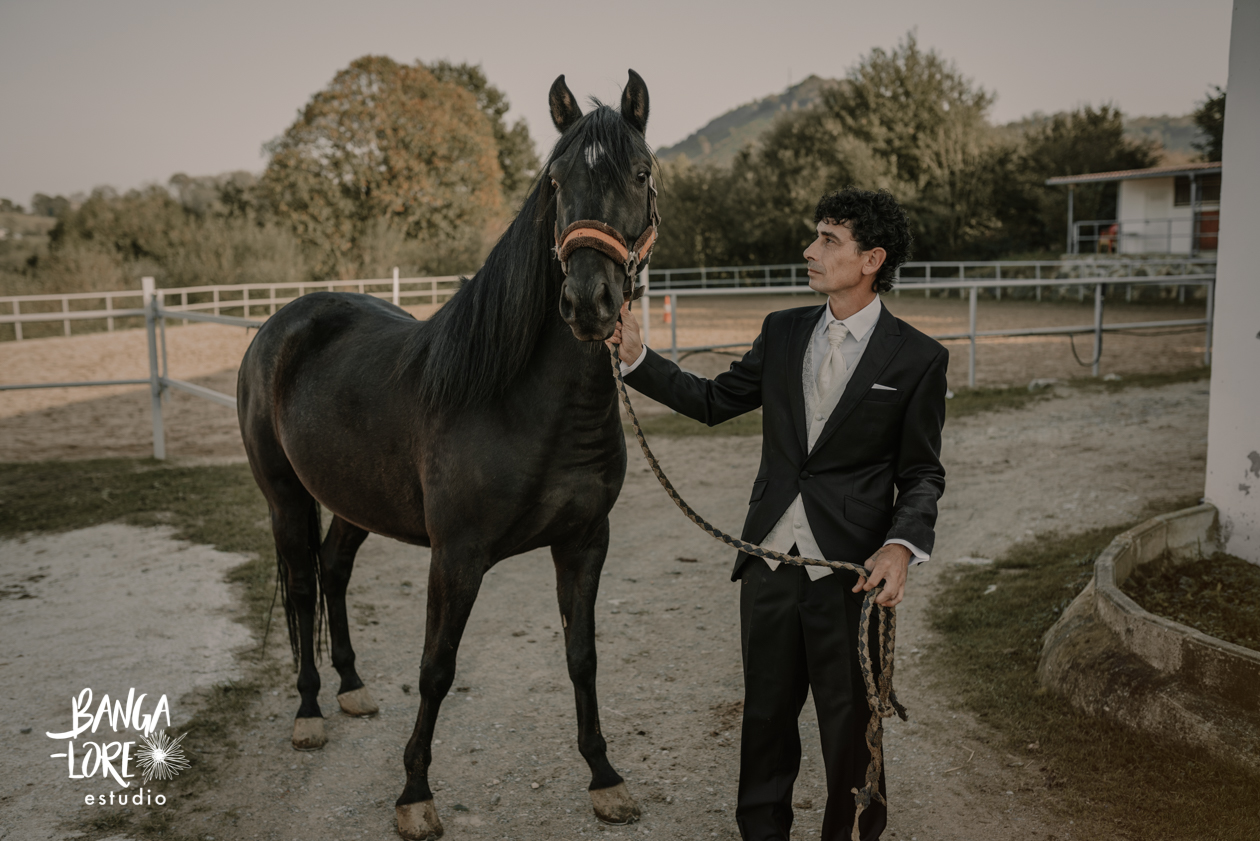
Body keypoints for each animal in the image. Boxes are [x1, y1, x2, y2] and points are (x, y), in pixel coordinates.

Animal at [236, 74, 655, 841]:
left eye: (640, 174)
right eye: (555, 181)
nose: (588, 302)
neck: (524, 401)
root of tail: (281, 323)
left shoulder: (585, 541)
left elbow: (582, 657)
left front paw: (605, 777)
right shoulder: (457, 555)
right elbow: (437, 667)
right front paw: (414, 794)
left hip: (354, 501)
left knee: (334, 571)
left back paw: (352, 686)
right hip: (285, 497)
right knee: (304, 586)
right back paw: (310, 711)